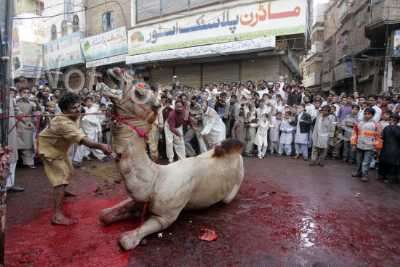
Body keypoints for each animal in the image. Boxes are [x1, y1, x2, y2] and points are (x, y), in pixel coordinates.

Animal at [98, 69, 245, 251]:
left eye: (140, 92)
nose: (117, 70)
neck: (155, 179)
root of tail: (238, 155)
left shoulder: (165, 217)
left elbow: (126, 241)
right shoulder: (140, 200)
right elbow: (104, 215)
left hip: (233, 189)